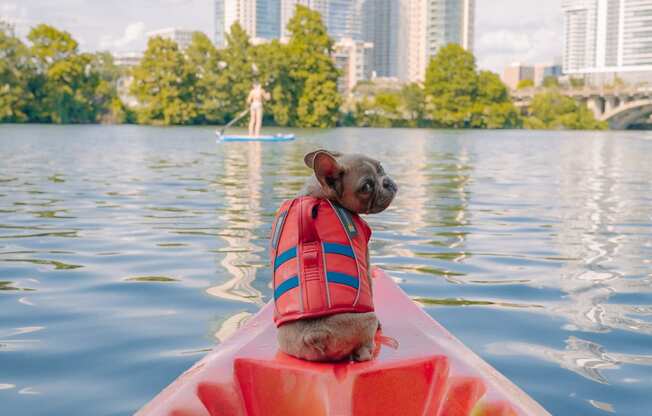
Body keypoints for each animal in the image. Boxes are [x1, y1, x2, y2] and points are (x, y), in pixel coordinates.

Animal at [276, 150, 398, 360]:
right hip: (368, 318)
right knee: (363, 352)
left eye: (381, 167)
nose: (387, 182)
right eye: (366, 187)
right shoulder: (366, 260)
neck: (320, 194)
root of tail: (315, 334)